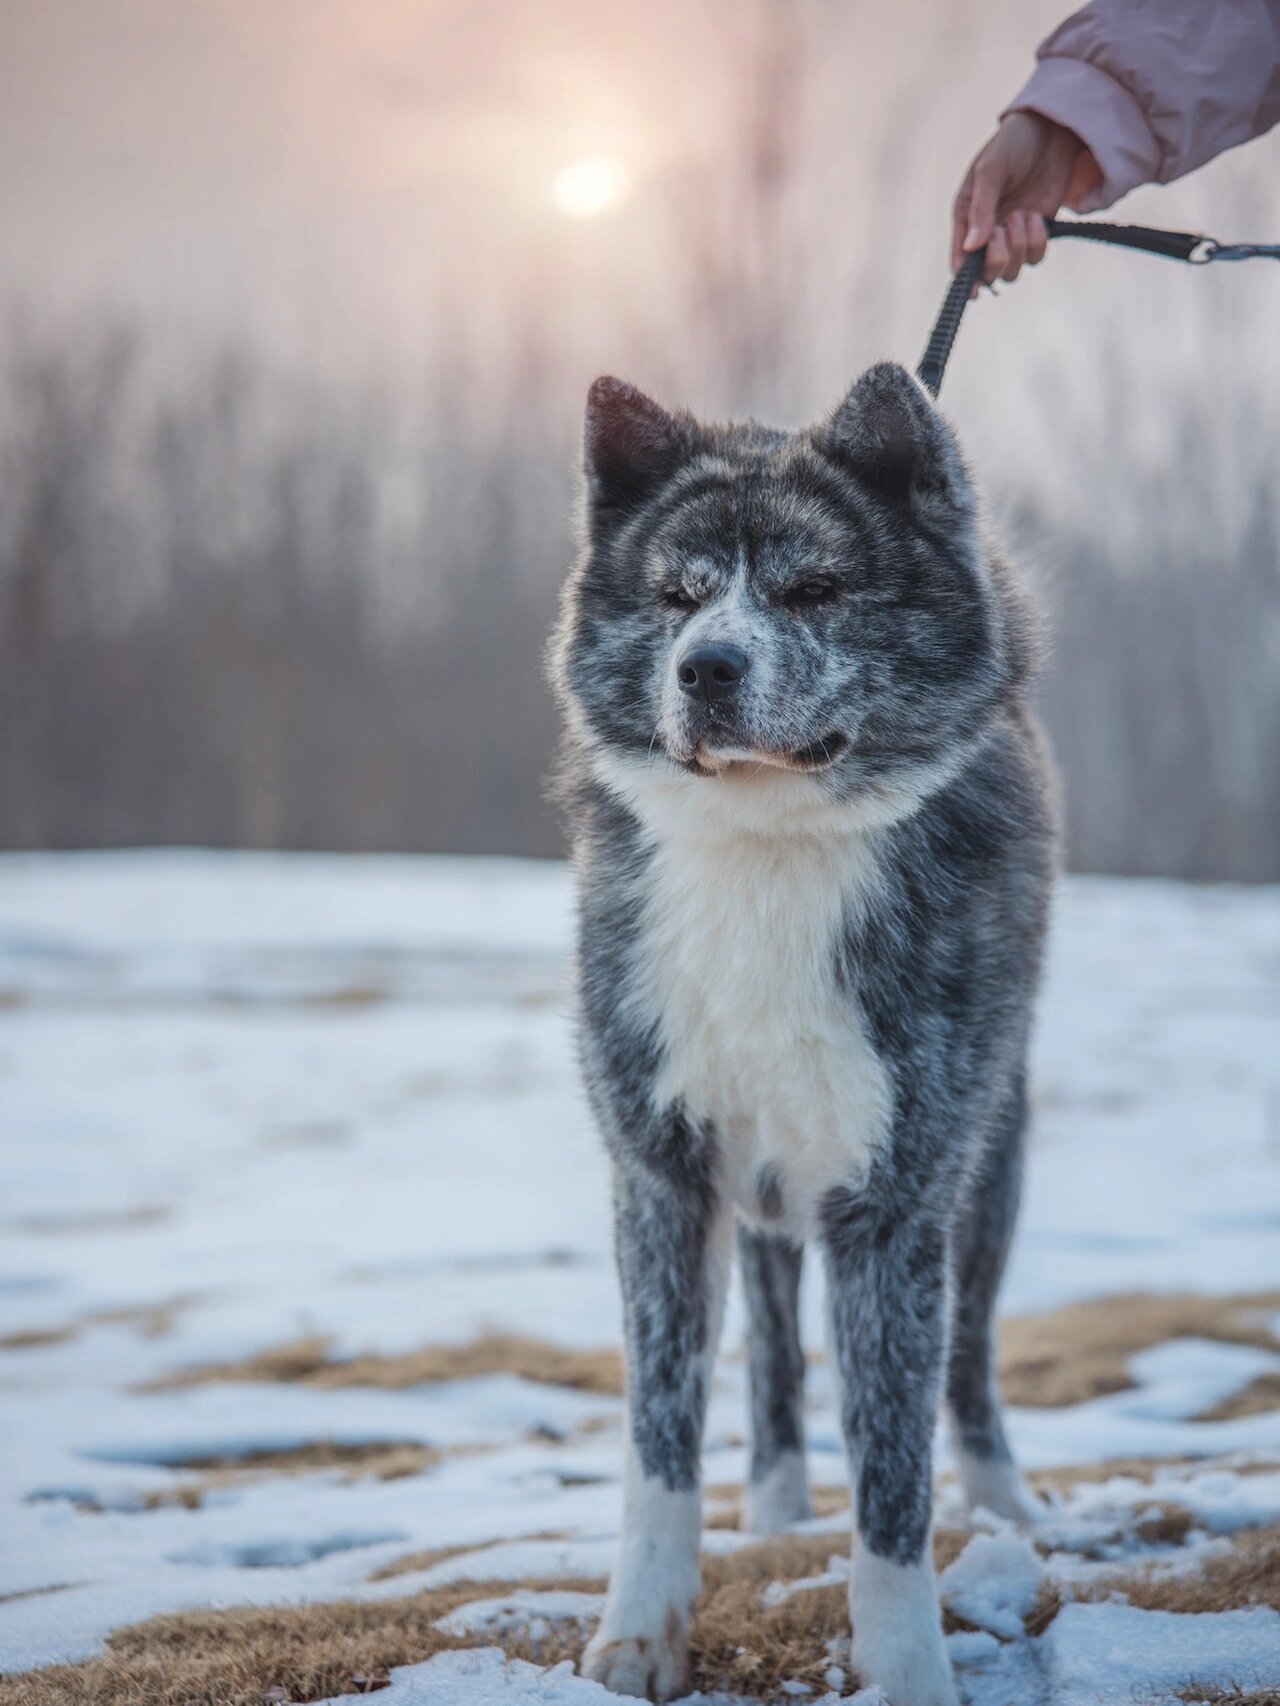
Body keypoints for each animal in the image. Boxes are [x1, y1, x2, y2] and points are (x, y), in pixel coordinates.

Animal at [552, 363, 1064, 1706]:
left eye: (812, 589)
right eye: (677, 595)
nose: (705, 668)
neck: (765, 843)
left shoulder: (894, 1199)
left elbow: (892, 1479)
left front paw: (907, 1668)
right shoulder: (660, 1175)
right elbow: (659, 1437)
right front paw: (640, 1632)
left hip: (991, 1159)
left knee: (967, 1358)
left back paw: (1004, 1496)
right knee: (775, 1336)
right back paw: (777, 1498)